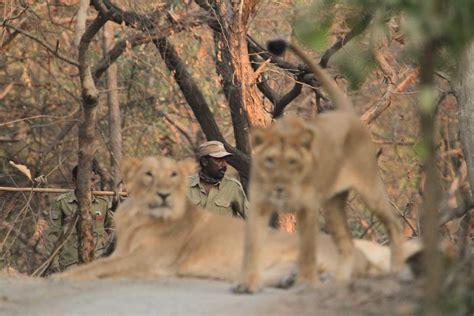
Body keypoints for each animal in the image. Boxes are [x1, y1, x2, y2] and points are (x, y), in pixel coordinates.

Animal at [54, 155, 404, 284]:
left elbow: (98, 268)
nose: (164, 195)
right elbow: (95, 264)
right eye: (149, 174)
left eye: (172, 175)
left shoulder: (151, 259)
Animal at [233, 39, 404, 294]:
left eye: (292, 162)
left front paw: (306, 281)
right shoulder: (260, 204)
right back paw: (339, 282)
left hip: (370, 189)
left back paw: (397, 269)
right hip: (333, 204)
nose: (280, 188)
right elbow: (252, 246)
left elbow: (307, 248)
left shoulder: (308, 206)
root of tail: (347, 115)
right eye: (270, 160)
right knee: (347, 244)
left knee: (394, 224)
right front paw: (248, 283)